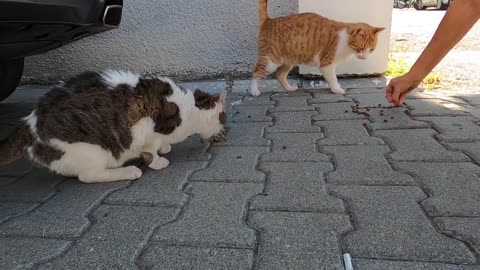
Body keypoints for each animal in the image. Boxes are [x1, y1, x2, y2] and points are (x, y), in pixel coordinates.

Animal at [0, 70, 227, 184]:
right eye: (223, 116)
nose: (226, 129)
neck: (189, 108)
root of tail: (29, 122)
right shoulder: (149, 131)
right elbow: (151, 150)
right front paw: (157, 161)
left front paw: (165, 148)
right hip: (91, 149)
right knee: (87, 176)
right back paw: (128, 171)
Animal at [249, 0, 384, 96]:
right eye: (361, 48)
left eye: (371, 50)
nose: (365, 57)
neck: (345, 41)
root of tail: (269, 20)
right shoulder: (327, 64)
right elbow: (333, 79)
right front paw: (336, 89)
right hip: (271, 61)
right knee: (256, 73)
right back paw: (254, 91)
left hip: (288, 61)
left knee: (280, 75)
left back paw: (290, 88)